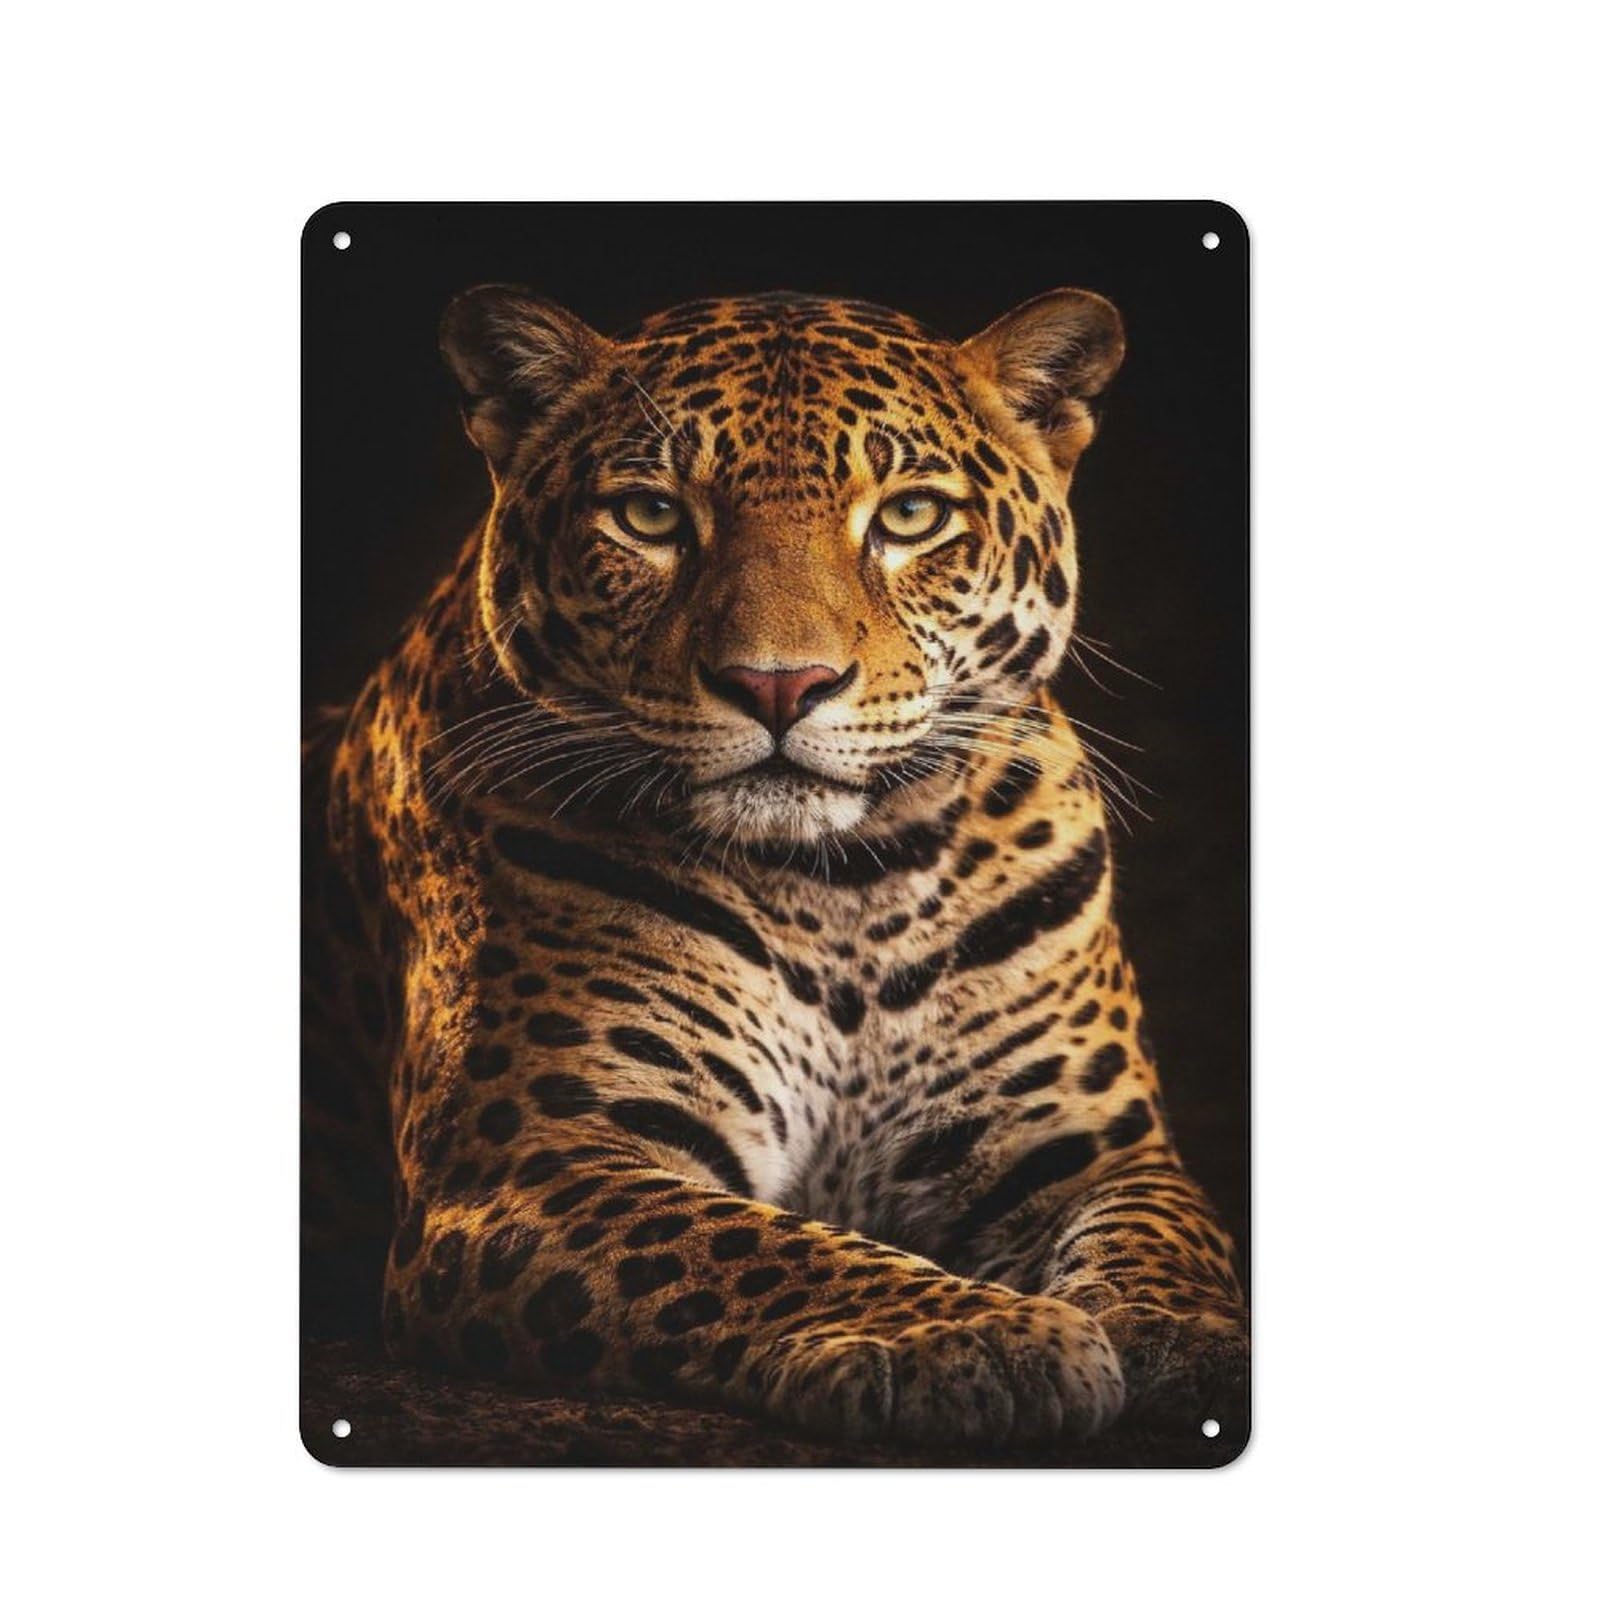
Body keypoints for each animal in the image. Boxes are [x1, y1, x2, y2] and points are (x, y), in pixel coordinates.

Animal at [301, 283, 1247, 1451]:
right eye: (650, 516)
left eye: (909, 516)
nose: (779, 685)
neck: (845, 890)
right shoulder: (533, 1163)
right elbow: (762, 1250)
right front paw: (977, 1332)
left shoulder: (1092, 1144)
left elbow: (1167, 1233)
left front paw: (1184, 1338)